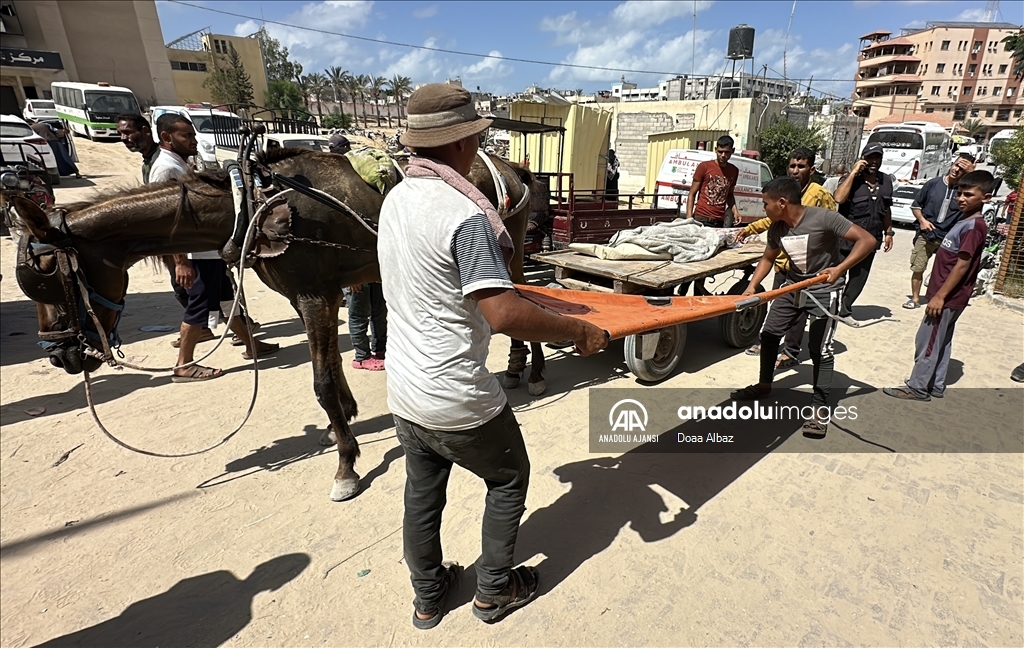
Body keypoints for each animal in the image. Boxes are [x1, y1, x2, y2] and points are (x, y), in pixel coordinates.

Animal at [12, 150, 548, 499]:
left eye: (47, 281)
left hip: (507, 248)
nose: (62, 355)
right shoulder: (310, 297)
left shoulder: (315, 295)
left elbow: (322, 381)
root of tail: (511, 166)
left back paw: (533, 369)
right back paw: (517, 366)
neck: (251, 204)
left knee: (525, 295)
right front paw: (342, 423)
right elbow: (332, 368)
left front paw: (346, 465)